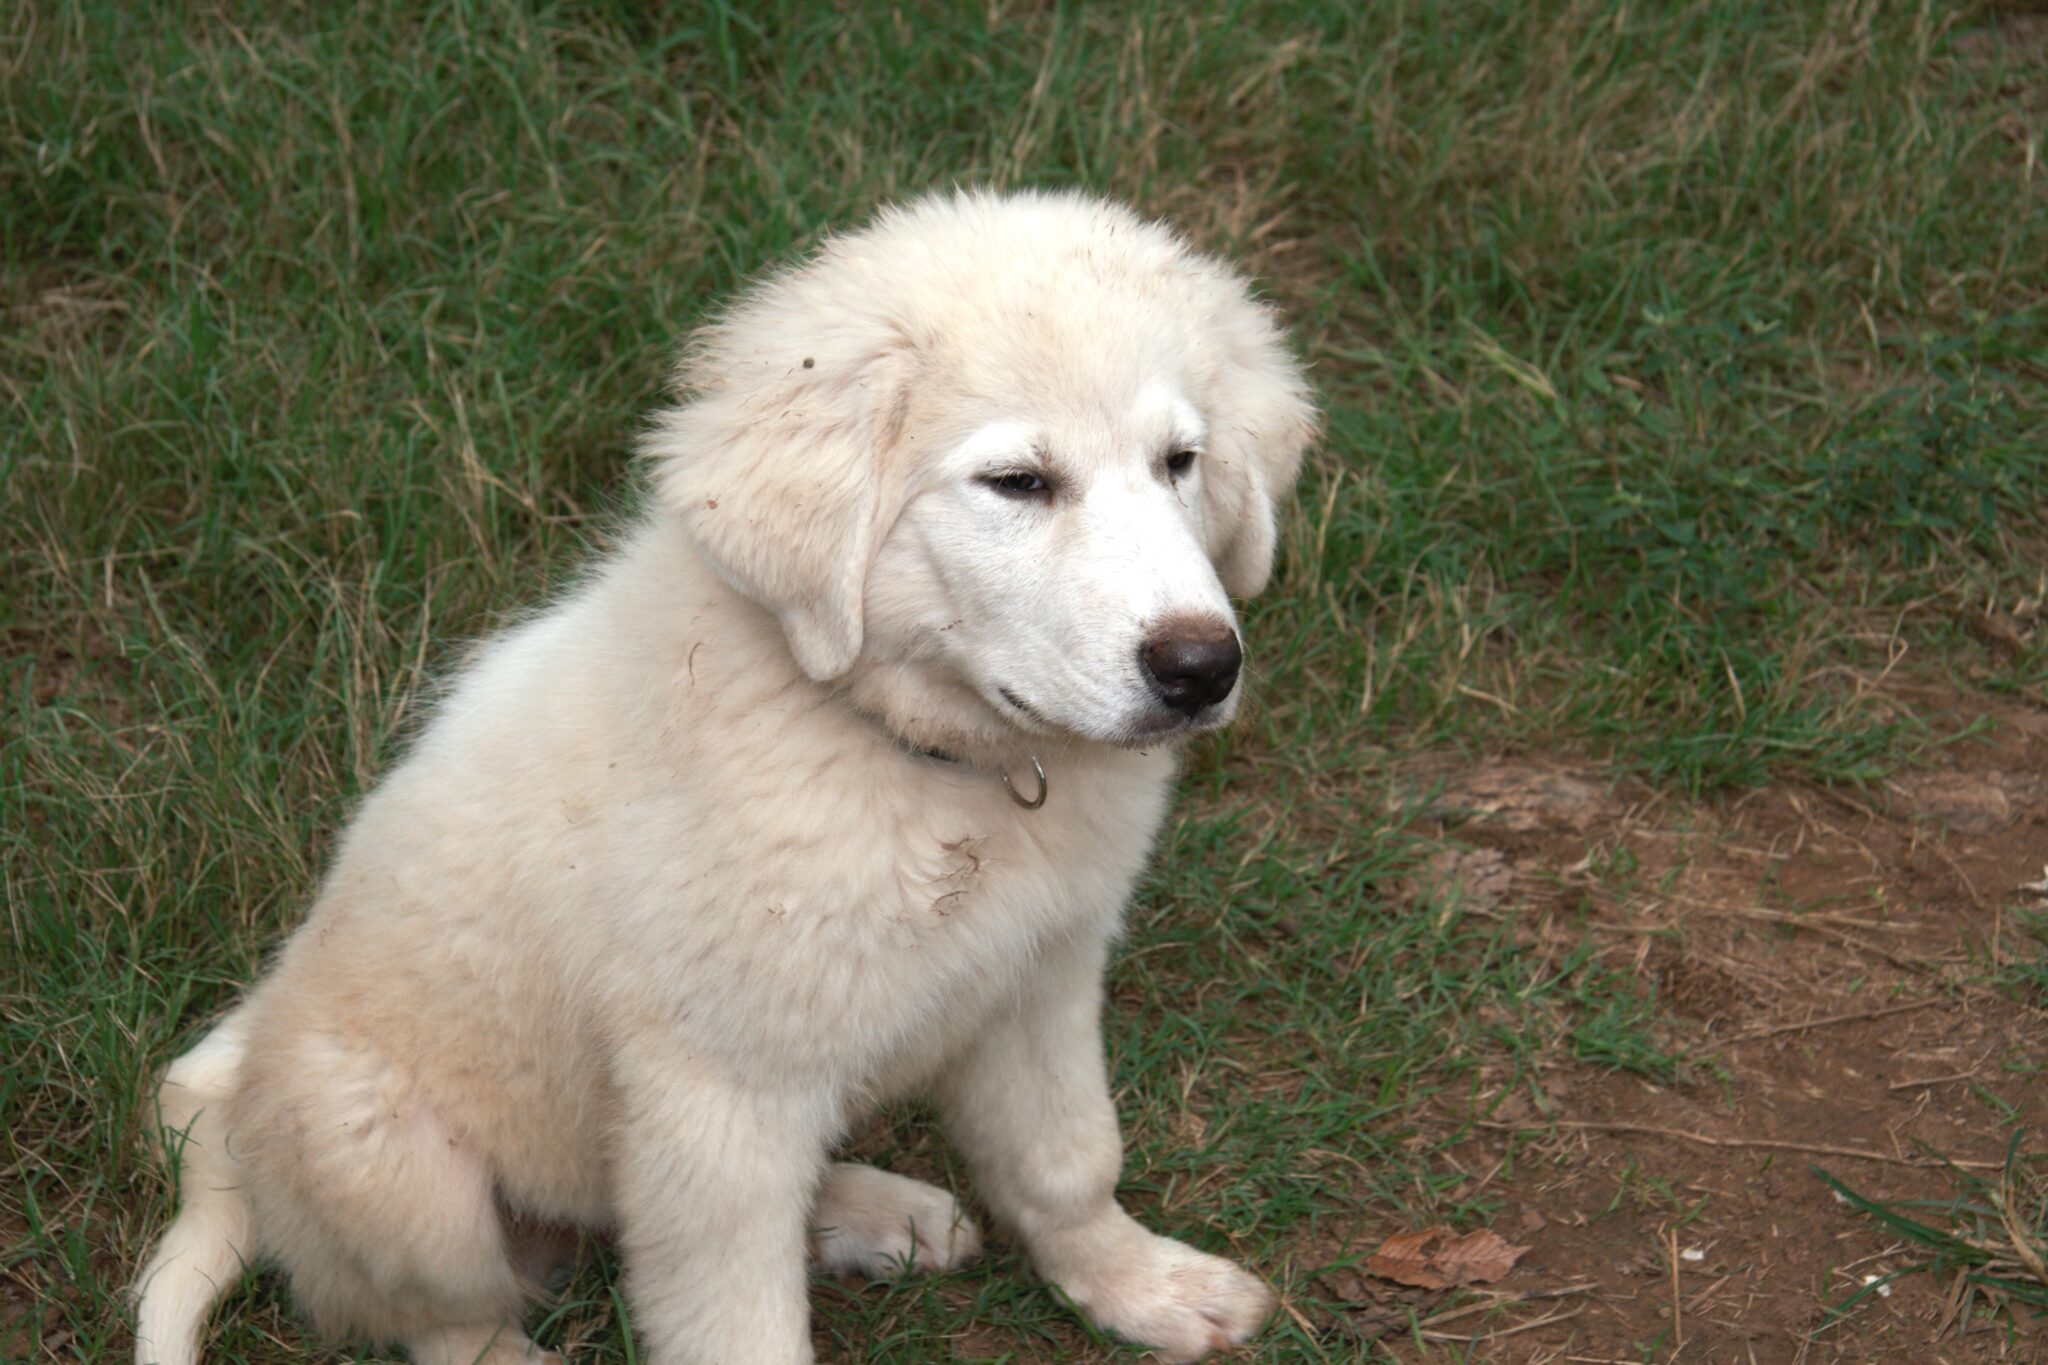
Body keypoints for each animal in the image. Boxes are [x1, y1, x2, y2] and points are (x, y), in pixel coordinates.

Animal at [132, 189, 1310, 1365]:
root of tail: (232, 1139)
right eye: (1017, 483)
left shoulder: (1040, 978)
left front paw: (1138, 1284)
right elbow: (736, 1319)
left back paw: (874, 1211)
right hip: (389, 1162)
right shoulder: (718, 1091)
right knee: (444, 1317)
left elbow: (1067, 1158)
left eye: (1179, 461)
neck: (921, 762)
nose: (1202, 668)